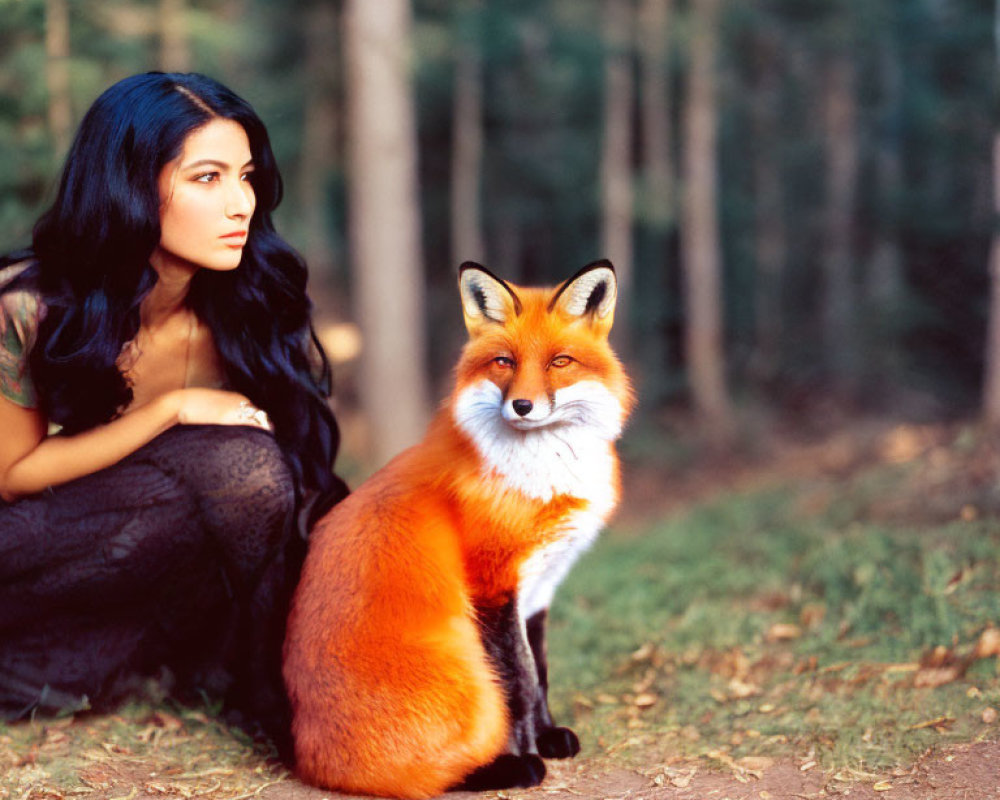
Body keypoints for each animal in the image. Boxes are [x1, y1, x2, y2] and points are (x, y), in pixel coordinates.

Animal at [284, 260, 632, 792]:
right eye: (504, 362)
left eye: (559, 362)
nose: (522, 406)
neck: (541, 478)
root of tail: (309, 761)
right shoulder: (493, 585)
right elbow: (519, 683)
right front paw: (527, 749)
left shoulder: (540, 587)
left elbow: (541, 672)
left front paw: (548, 734)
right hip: (468, 675)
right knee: (422, 778)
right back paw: (505, 767)